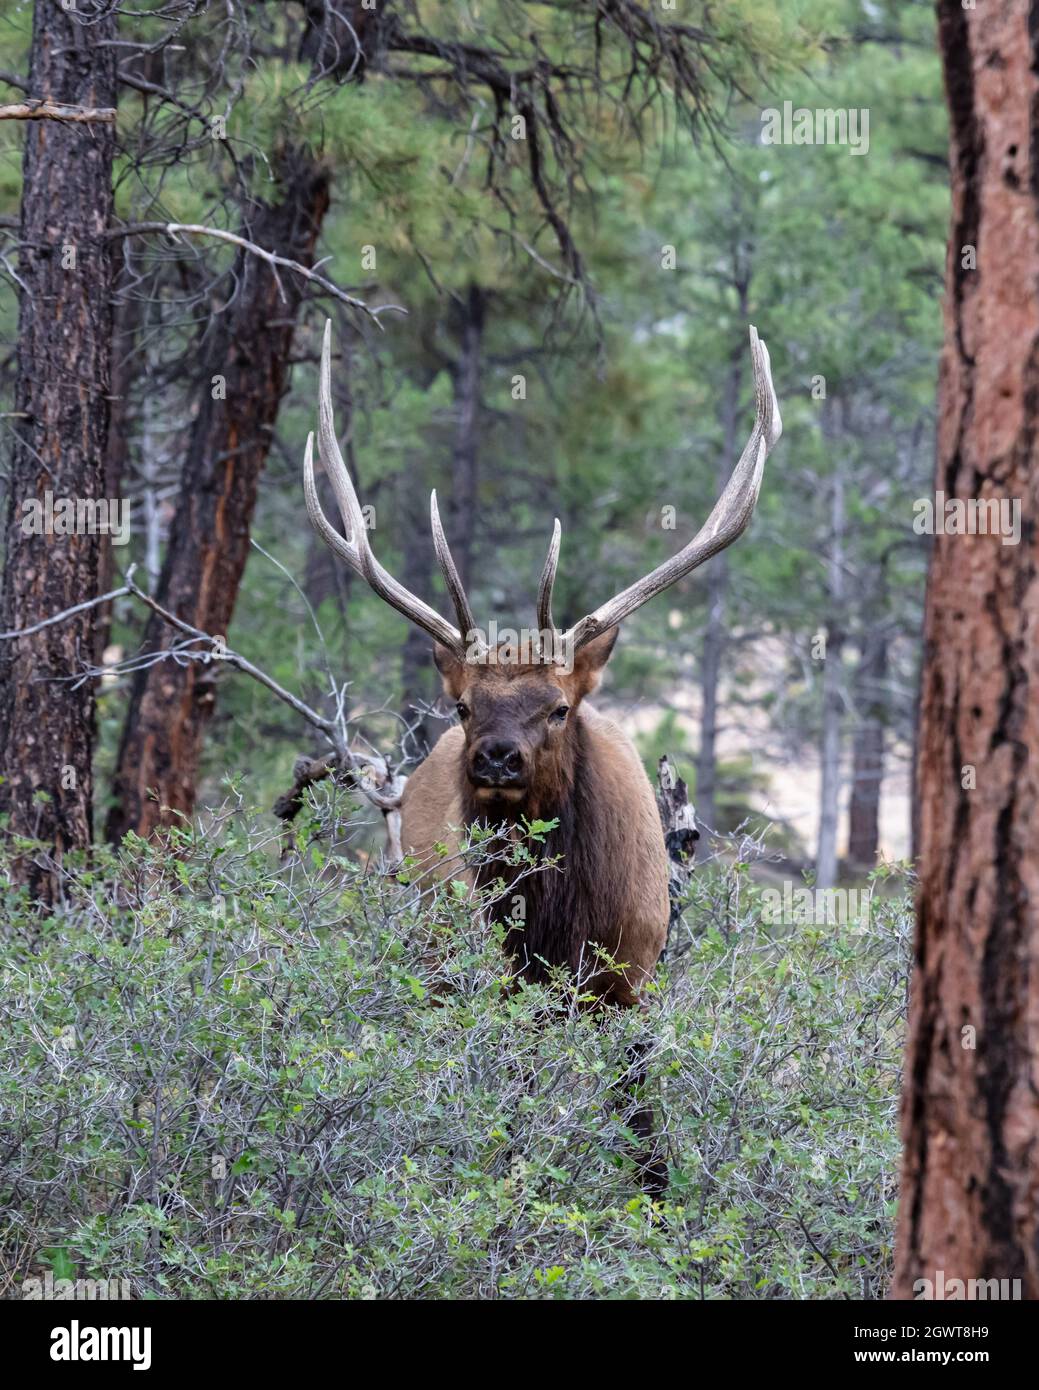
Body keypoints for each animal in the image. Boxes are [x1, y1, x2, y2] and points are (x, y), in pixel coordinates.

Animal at [303, 319, 781, 1191]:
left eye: (559, 707)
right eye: (464, 703)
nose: (495, 759)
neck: (559, 925)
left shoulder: (632, 979)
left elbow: (643, 1127)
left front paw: (656, 1201)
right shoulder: (500, 986)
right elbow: (510, 1112)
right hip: (433, 954)